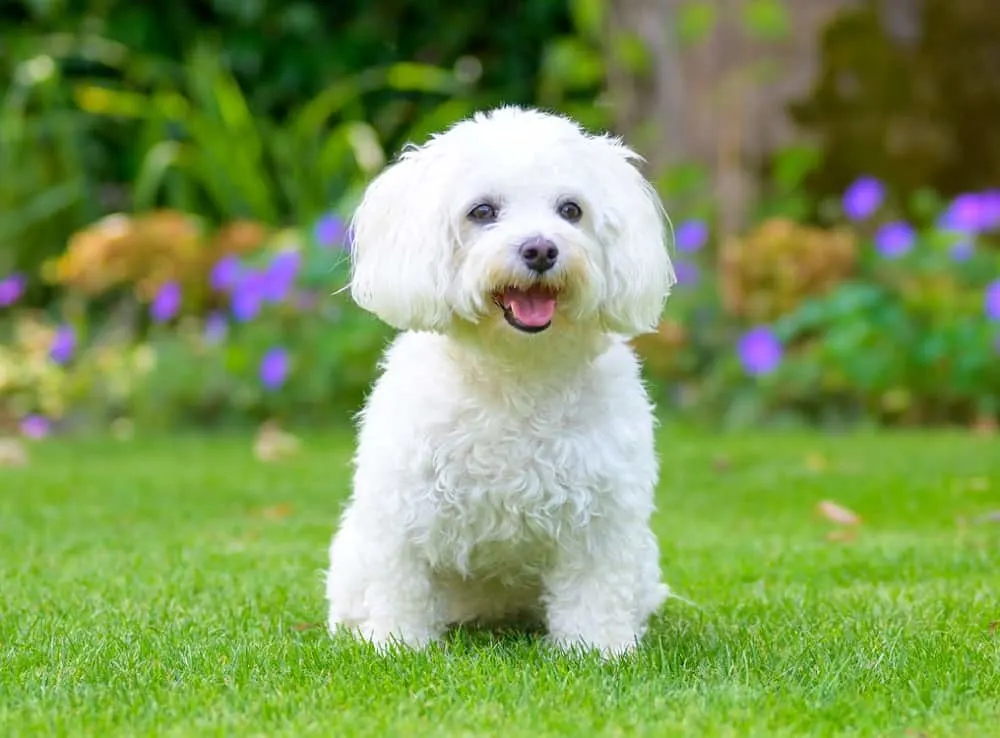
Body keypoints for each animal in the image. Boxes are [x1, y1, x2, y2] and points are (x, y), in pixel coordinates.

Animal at [324, 103, 676, 656]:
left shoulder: (603, 515)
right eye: (482, 211)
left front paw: (598, 648)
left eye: (571, 210)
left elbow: (596, 588)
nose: (540, 250)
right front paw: (398, 643)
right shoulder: (402, 508)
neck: (514, 370)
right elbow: (403, 582)